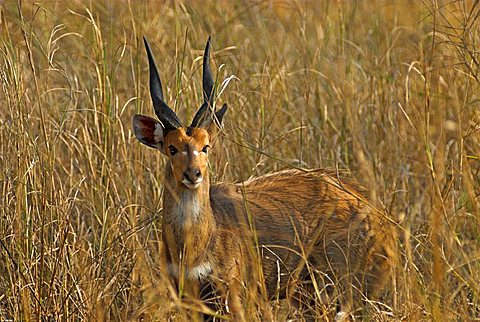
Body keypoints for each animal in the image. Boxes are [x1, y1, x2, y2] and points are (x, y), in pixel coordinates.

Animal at [133, 37, 396, 320]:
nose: (193, 174)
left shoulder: (233, 296)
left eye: (206, 146)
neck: (194, 247)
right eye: (172, 147)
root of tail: (381, 220)